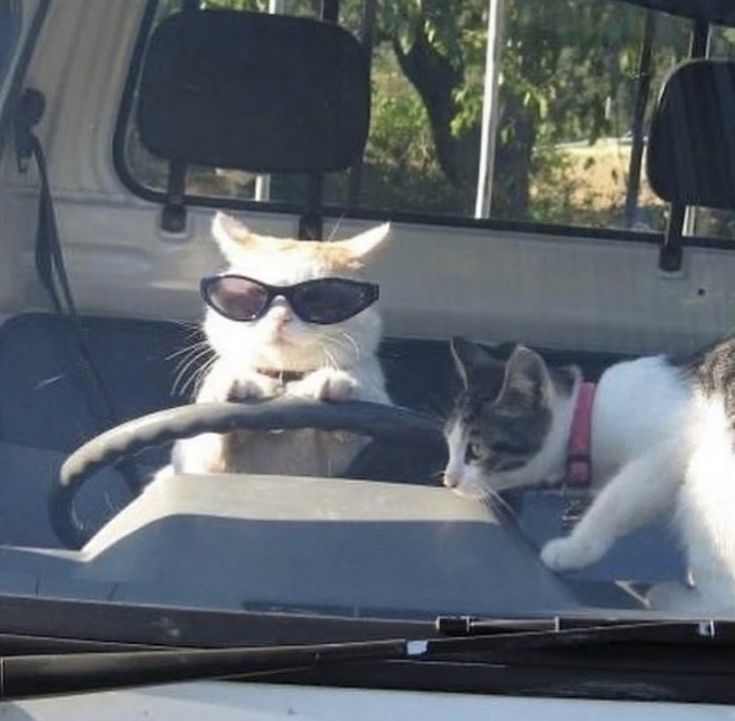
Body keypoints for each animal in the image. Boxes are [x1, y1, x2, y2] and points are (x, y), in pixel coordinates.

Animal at [164, 212, 394, 478]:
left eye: (321, 299)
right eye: (247, 295)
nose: (281, 316)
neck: (285, 381)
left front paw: (332, 382)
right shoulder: (195, 460)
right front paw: (237, 386)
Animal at [446, 334, 735, 612]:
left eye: (476, 450)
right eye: (449, 442)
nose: (449, 480)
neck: (590, 417)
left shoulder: (667, 450)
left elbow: (612, 503)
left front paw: (571, 549)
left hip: (707, 467)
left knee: (723, 600)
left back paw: (672, 599)